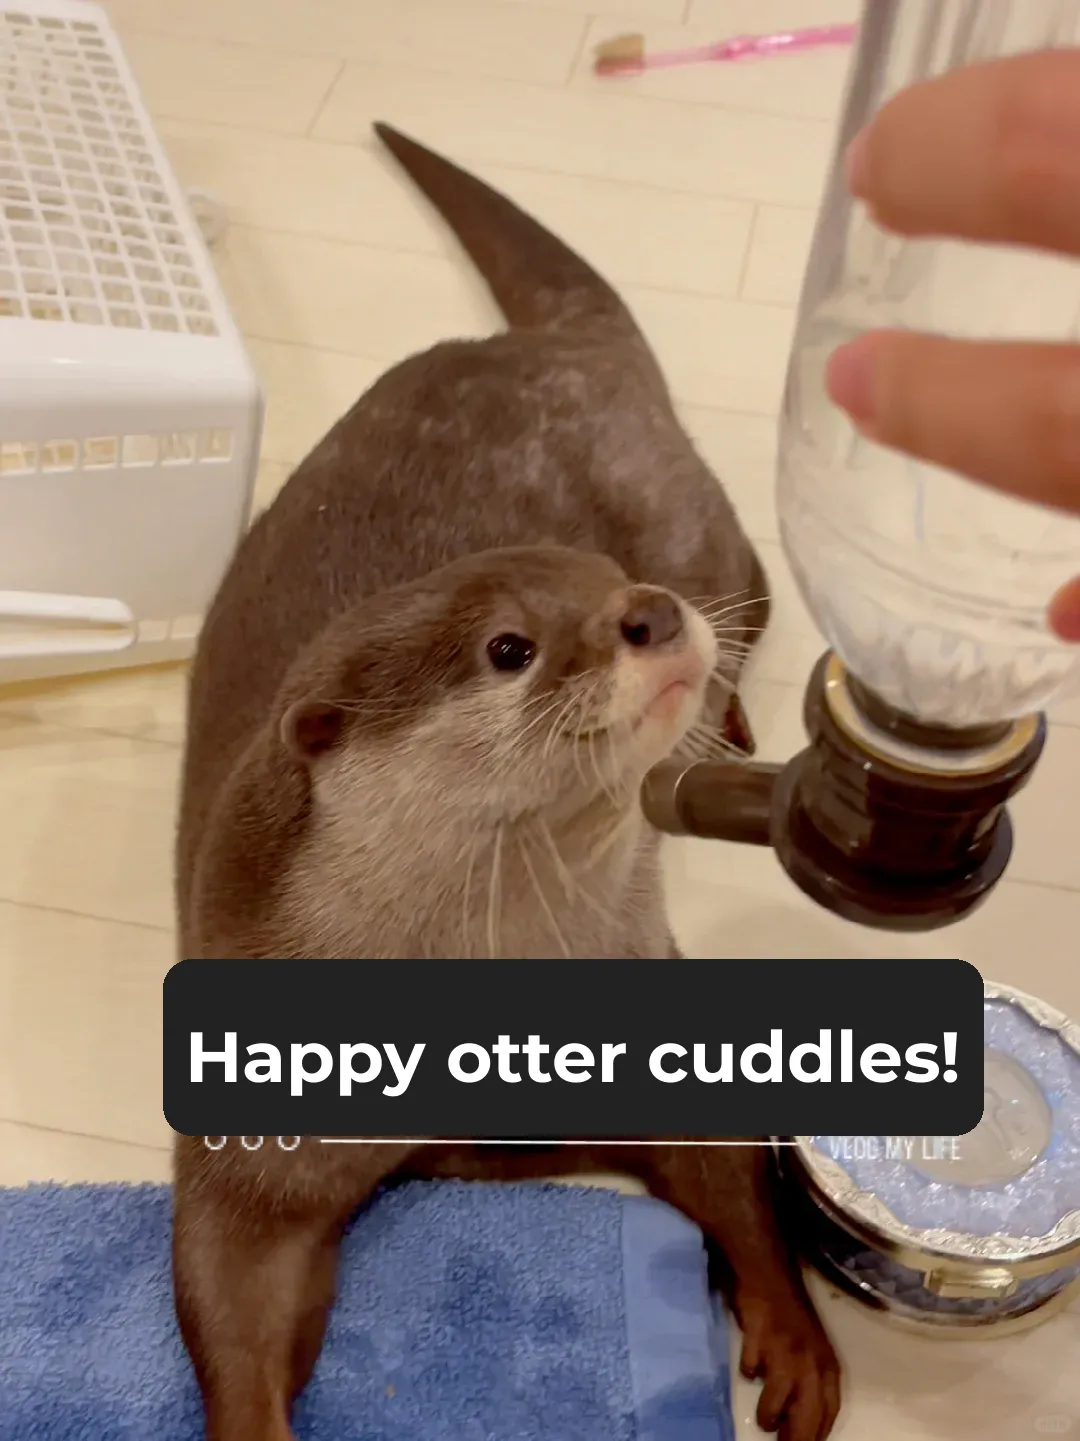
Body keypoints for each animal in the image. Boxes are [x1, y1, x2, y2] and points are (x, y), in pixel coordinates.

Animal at [173, 125, 840, 1441]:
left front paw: (792, 1339)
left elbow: (728, 1160)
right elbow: (226, 1285)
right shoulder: (249, 1108)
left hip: (708, 534)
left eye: (611, 580)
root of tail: (557, 346)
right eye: (510, 647)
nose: (649, 610)